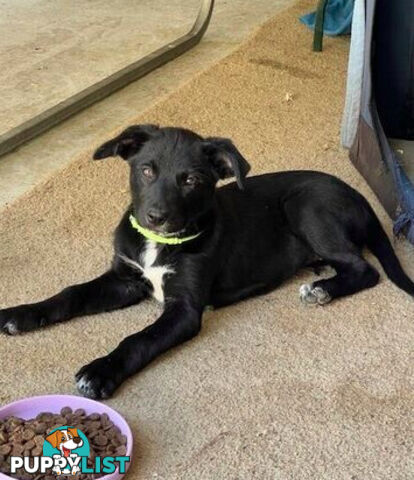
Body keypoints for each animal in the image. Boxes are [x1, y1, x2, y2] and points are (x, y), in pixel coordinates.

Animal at [1, 124, 412, 398]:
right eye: (146, 170)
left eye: (192, 181)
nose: (156, 217)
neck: (159, 244)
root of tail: (359, 196)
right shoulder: (126, 279)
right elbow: (71, 293)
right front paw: (20, 314)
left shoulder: (184, 308)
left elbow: (137, 339)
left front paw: (101, 371)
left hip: (306, 205)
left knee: (365, 269)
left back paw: (322, 289)